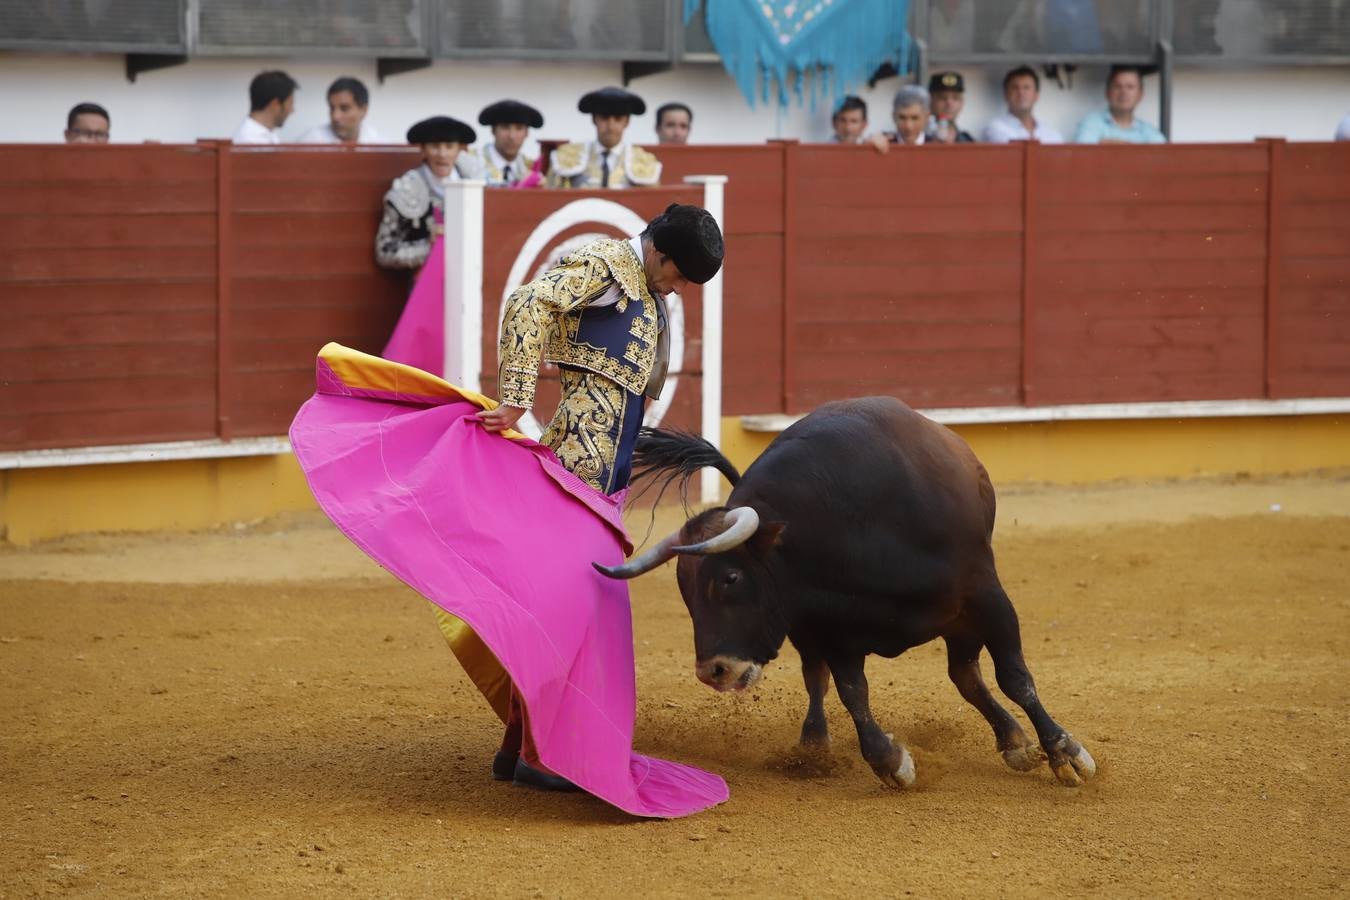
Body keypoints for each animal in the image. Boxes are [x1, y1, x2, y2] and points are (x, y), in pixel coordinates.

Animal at [594, 399, 1096, 788]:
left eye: (730, 578)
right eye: (684, 592)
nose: (713, 671)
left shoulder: (985, 595)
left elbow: (1016, 677)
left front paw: (1065, 753)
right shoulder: (833, 630)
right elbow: (853, 693)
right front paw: (891, 761)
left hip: (960, 618)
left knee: (967, 675)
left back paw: (1016, 743)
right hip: (818, 630)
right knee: (825, 678)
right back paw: (813, 748)